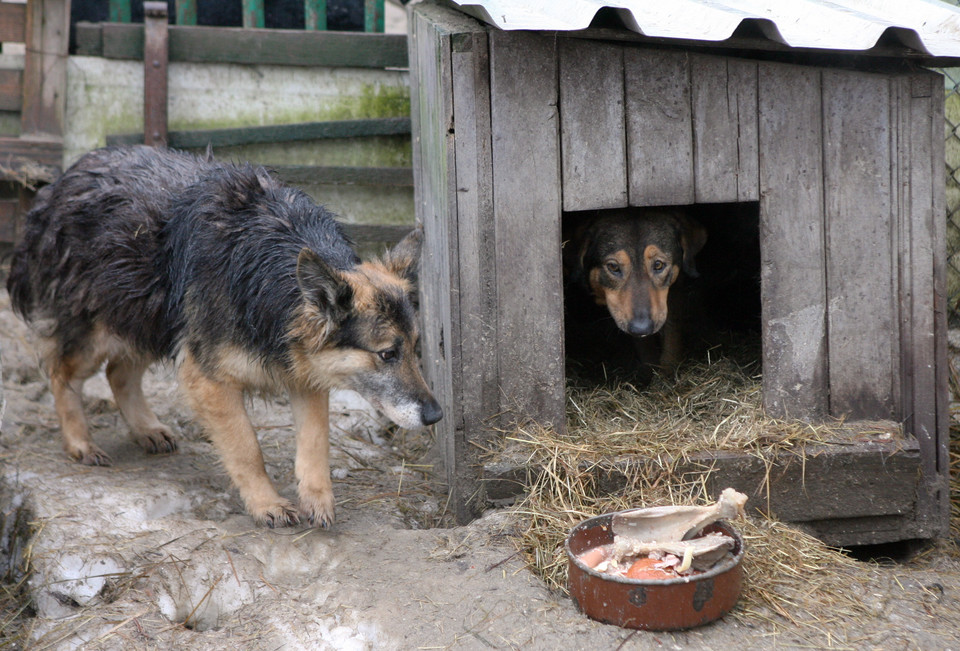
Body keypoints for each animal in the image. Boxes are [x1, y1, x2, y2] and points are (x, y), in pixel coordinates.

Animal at [564, 209, 704, 382]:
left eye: (658, 264)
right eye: (613, 266)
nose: (641, 328)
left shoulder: (674, 291)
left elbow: (672, 331)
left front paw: (667, 371)